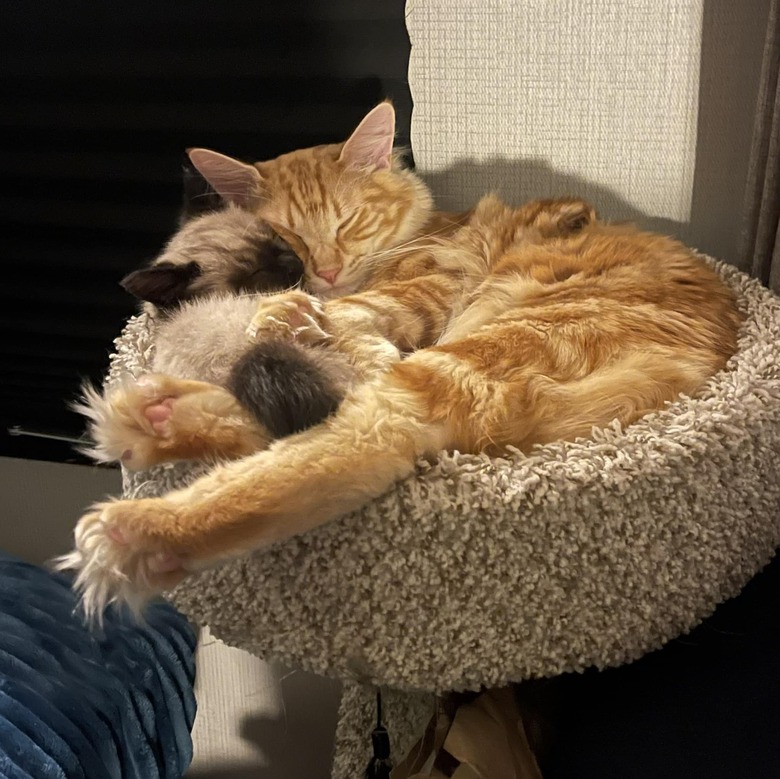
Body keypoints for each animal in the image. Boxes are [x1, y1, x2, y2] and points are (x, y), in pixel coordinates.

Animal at [58, 190, 740, 620]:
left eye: (282, 247)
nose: (302, 264)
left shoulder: (411, 296)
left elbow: (342, 322)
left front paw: (285, 314)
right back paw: (155, 417)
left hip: (448, 370)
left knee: (341, 438)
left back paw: (138, 528)